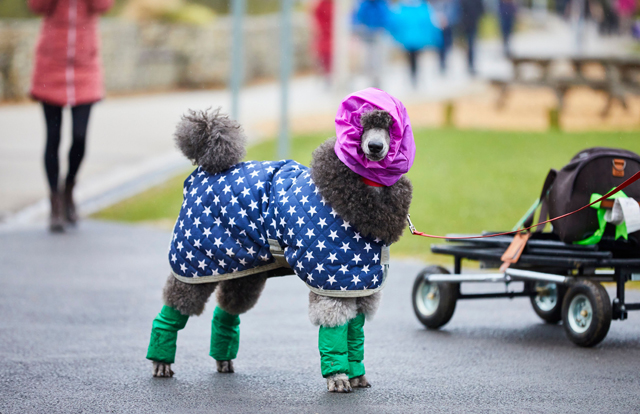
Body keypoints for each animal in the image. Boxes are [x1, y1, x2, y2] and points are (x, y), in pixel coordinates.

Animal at [146, 87, 416, 392]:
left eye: (390, 127)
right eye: (362, 124)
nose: (375, 147)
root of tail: (205, 168)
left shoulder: (360, 280)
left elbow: (355, 332)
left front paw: (357, 374)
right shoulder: (333, 279)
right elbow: (335, 328)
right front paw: (337, 376)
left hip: (243, 265)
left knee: (227, 308)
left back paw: (223, 358)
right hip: (197, 258)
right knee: (176, 304)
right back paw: (160, 359)